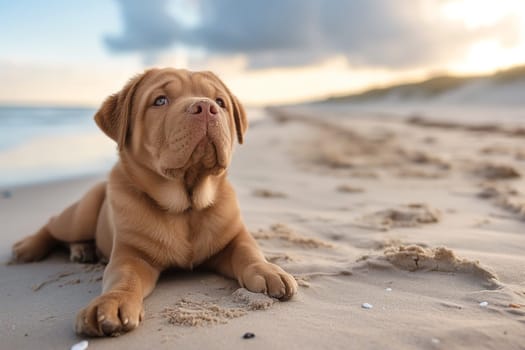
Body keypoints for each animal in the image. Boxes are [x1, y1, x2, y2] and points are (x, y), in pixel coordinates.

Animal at [12, 67, 296, 336]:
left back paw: (82, 250)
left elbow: (249, 251)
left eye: (220, 101)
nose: (206, 107)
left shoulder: (234, 238)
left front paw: (268, 270)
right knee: (53, 225)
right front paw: (112, 303)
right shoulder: (132, 256)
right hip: (82, 213)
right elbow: (124, 278)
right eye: (160, 101)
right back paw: (29, 247)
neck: (187, 207)